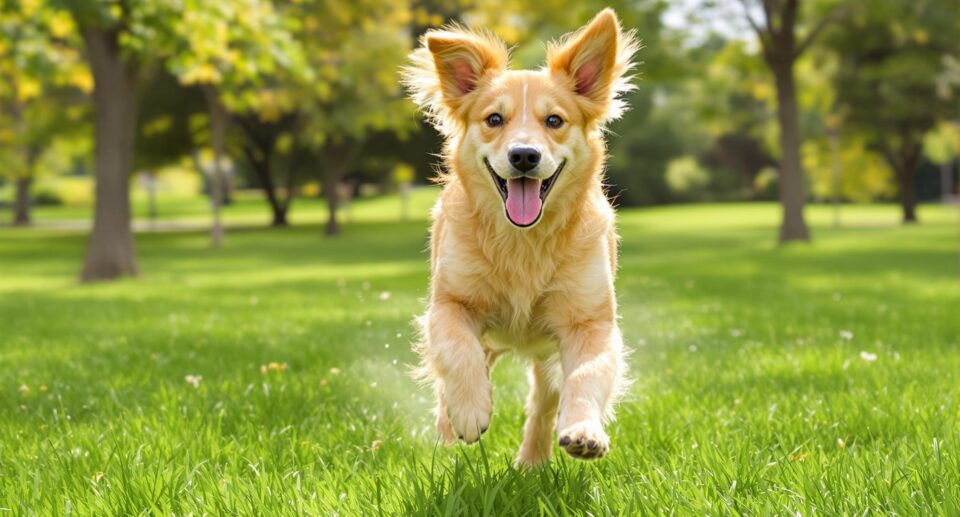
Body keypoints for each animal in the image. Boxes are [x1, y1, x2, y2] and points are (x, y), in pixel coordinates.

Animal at [404, 9, 636, 468]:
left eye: (555, 121)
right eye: (494, 119)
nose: (524, 156)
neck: (522, 241)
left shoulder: (590, 321)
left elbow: (587, 373)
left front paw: (585, 431)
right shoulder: (449, 303)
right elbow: (457, 350)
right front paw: (469, 411)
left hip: (546, 356)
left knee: (544, 402)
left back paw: (533, 459)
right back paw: (448, 428)